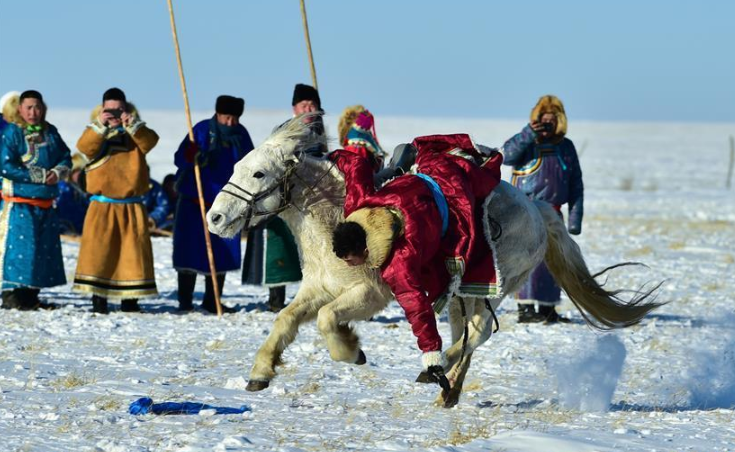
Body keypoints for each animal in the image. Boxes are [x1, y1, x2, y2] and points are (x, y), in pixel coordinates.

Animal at [206, 116, 663, 408]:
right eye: (238, 166)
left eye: (259, 174)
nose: (214, 218)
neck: (337, 217)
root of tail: (537, 208)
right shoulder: (320, 287)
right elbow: (286, 319)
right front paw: (260, 373)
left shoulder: (370, 292)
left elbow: (325, 320)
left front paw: (352, 350)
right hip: (461, 293)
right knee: (467, 334)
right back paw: (449, 389)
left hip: (495, 287)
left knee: (478, 333)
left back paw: (436, 369)